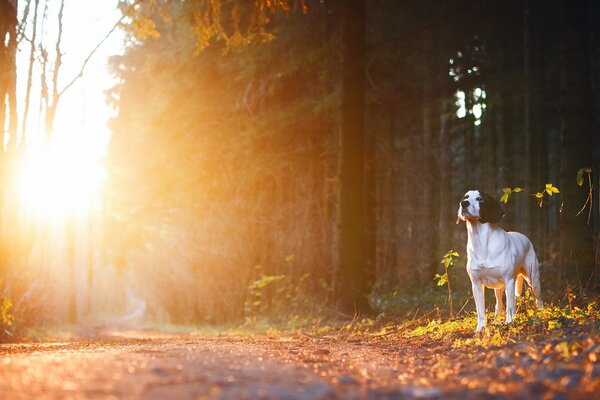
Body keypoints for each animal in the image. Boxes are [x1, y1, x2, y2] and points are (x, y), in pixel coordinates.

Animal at [454, 191, 544, 332]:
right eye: (465, 197)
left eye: (480, 199)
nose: (464, 203)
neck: (481, 241)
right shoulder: (476, 284)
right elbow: (480, 310)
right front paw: (480, 328)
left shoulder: (509, 281)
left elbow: (510, 306)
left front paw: (510, 322)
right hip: (498, 287)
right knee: (499, 304)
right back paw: (496, 320)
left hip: (533, 279)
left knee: (539, 299)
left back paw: (542, 314)